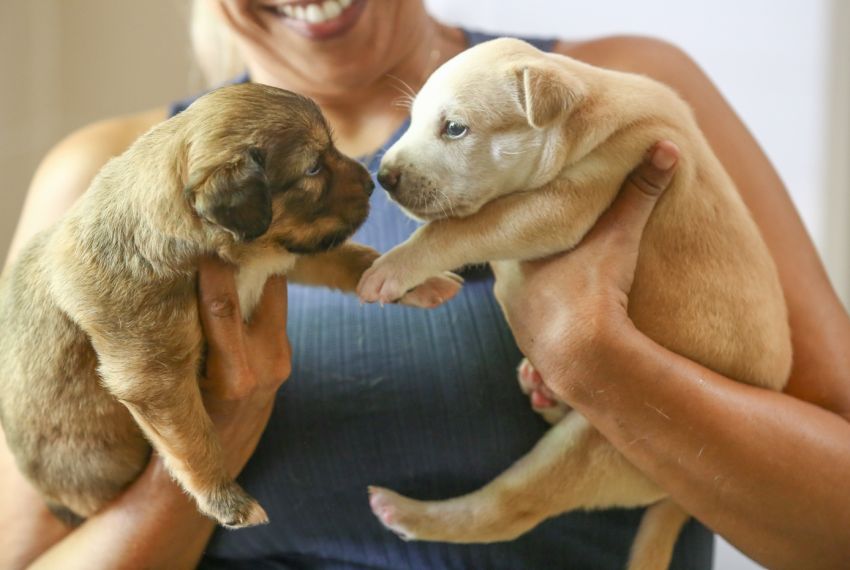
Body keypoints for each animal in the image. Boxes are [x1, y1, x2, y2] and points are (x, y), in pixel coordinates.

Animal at [0, 82, 458, 524]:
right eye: (313, 167)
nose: (372, 182)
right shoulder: (155, 375)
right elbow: (193, 440)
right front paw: (226, 501)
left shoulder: (285, 254)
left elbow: (348, 258)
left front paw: (410, 279)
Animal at [354, 37, 792, 564]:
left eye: (455, 128)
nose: (384, 176)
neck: (583, 113)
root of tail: (679, 501)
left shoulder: (565, 201)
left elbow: (460, 229)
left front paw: (389, 271)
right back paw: (539, 387)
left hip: (600, 447)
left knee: (509, 509)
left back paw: (401, 511)